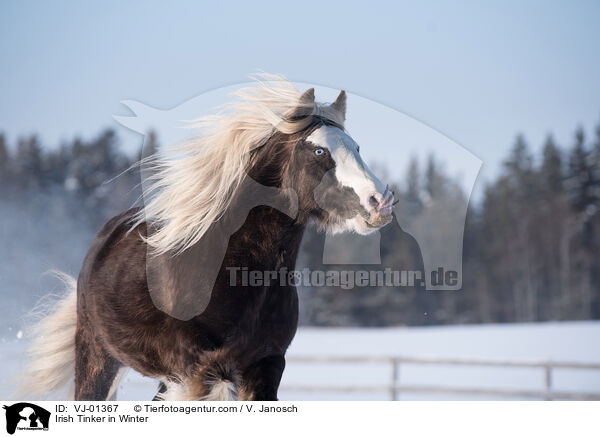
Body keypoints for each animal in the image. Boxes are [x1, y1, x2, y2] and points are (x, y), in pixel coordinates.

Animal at [17, 76, 394, 400]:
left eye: (356, 146)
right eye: (318, 151)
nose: (381, 201)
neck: (231, 271)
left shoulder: (264, 367)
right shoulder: (198, 370)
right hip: (98, 357)